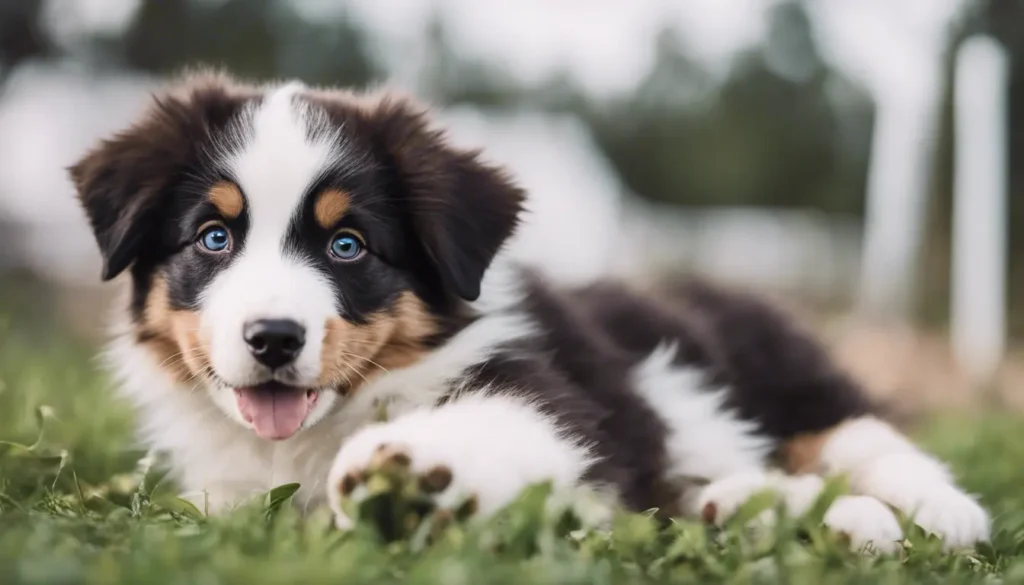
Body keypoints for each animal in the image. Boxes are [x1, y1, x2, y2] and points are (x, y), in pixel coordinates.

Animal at [68, 71, 987, 553]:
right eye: (214, 236)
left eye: (348, 246)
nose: (272, 338)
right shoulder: (228, 490)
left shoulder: (555, 393)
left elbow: (514, 420)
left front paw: (408, 470)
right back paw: (782, 515)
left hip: (772, 365)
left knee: (859, 434)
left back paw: (941, 512)